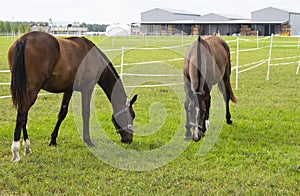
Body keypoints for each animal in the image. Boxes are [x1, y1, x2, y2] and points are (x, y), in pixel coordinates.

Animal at [7, 31, 138, 162]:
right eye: (131, 116)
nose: (128, 140)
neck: (94, 57)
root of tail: (24, 40)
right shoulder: (87, 89)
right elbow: (86, 113)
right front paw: (88, 141)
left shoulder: (68, 90)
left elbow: (62, 114)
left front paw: (53, 140)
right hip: (32, 90)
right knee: (22, 113)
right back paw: (16, 152)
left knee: (24, 115)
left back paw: (27, 148)